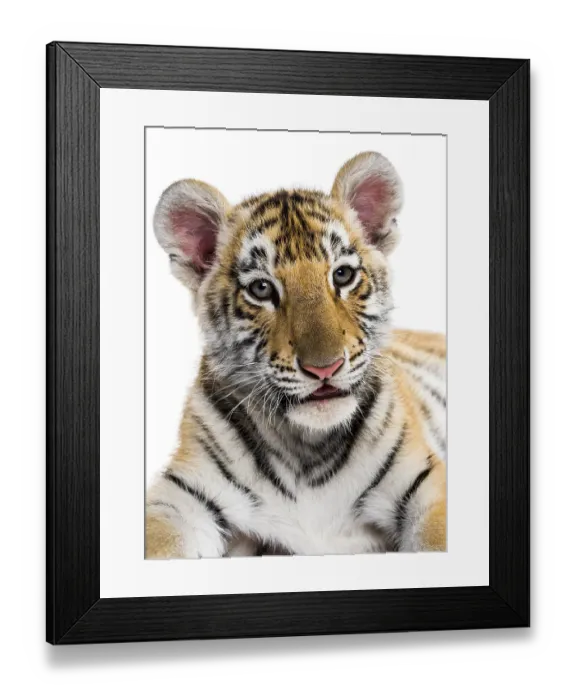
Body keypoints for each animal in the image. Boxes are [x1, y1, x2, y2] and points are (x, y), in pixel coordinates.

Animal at [145, 151, 446, 559]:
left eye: (343, 275)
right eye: (261, 289)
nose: (325, 368)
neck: (308, 450)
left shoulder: (425, 483)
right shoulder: (182, 496)